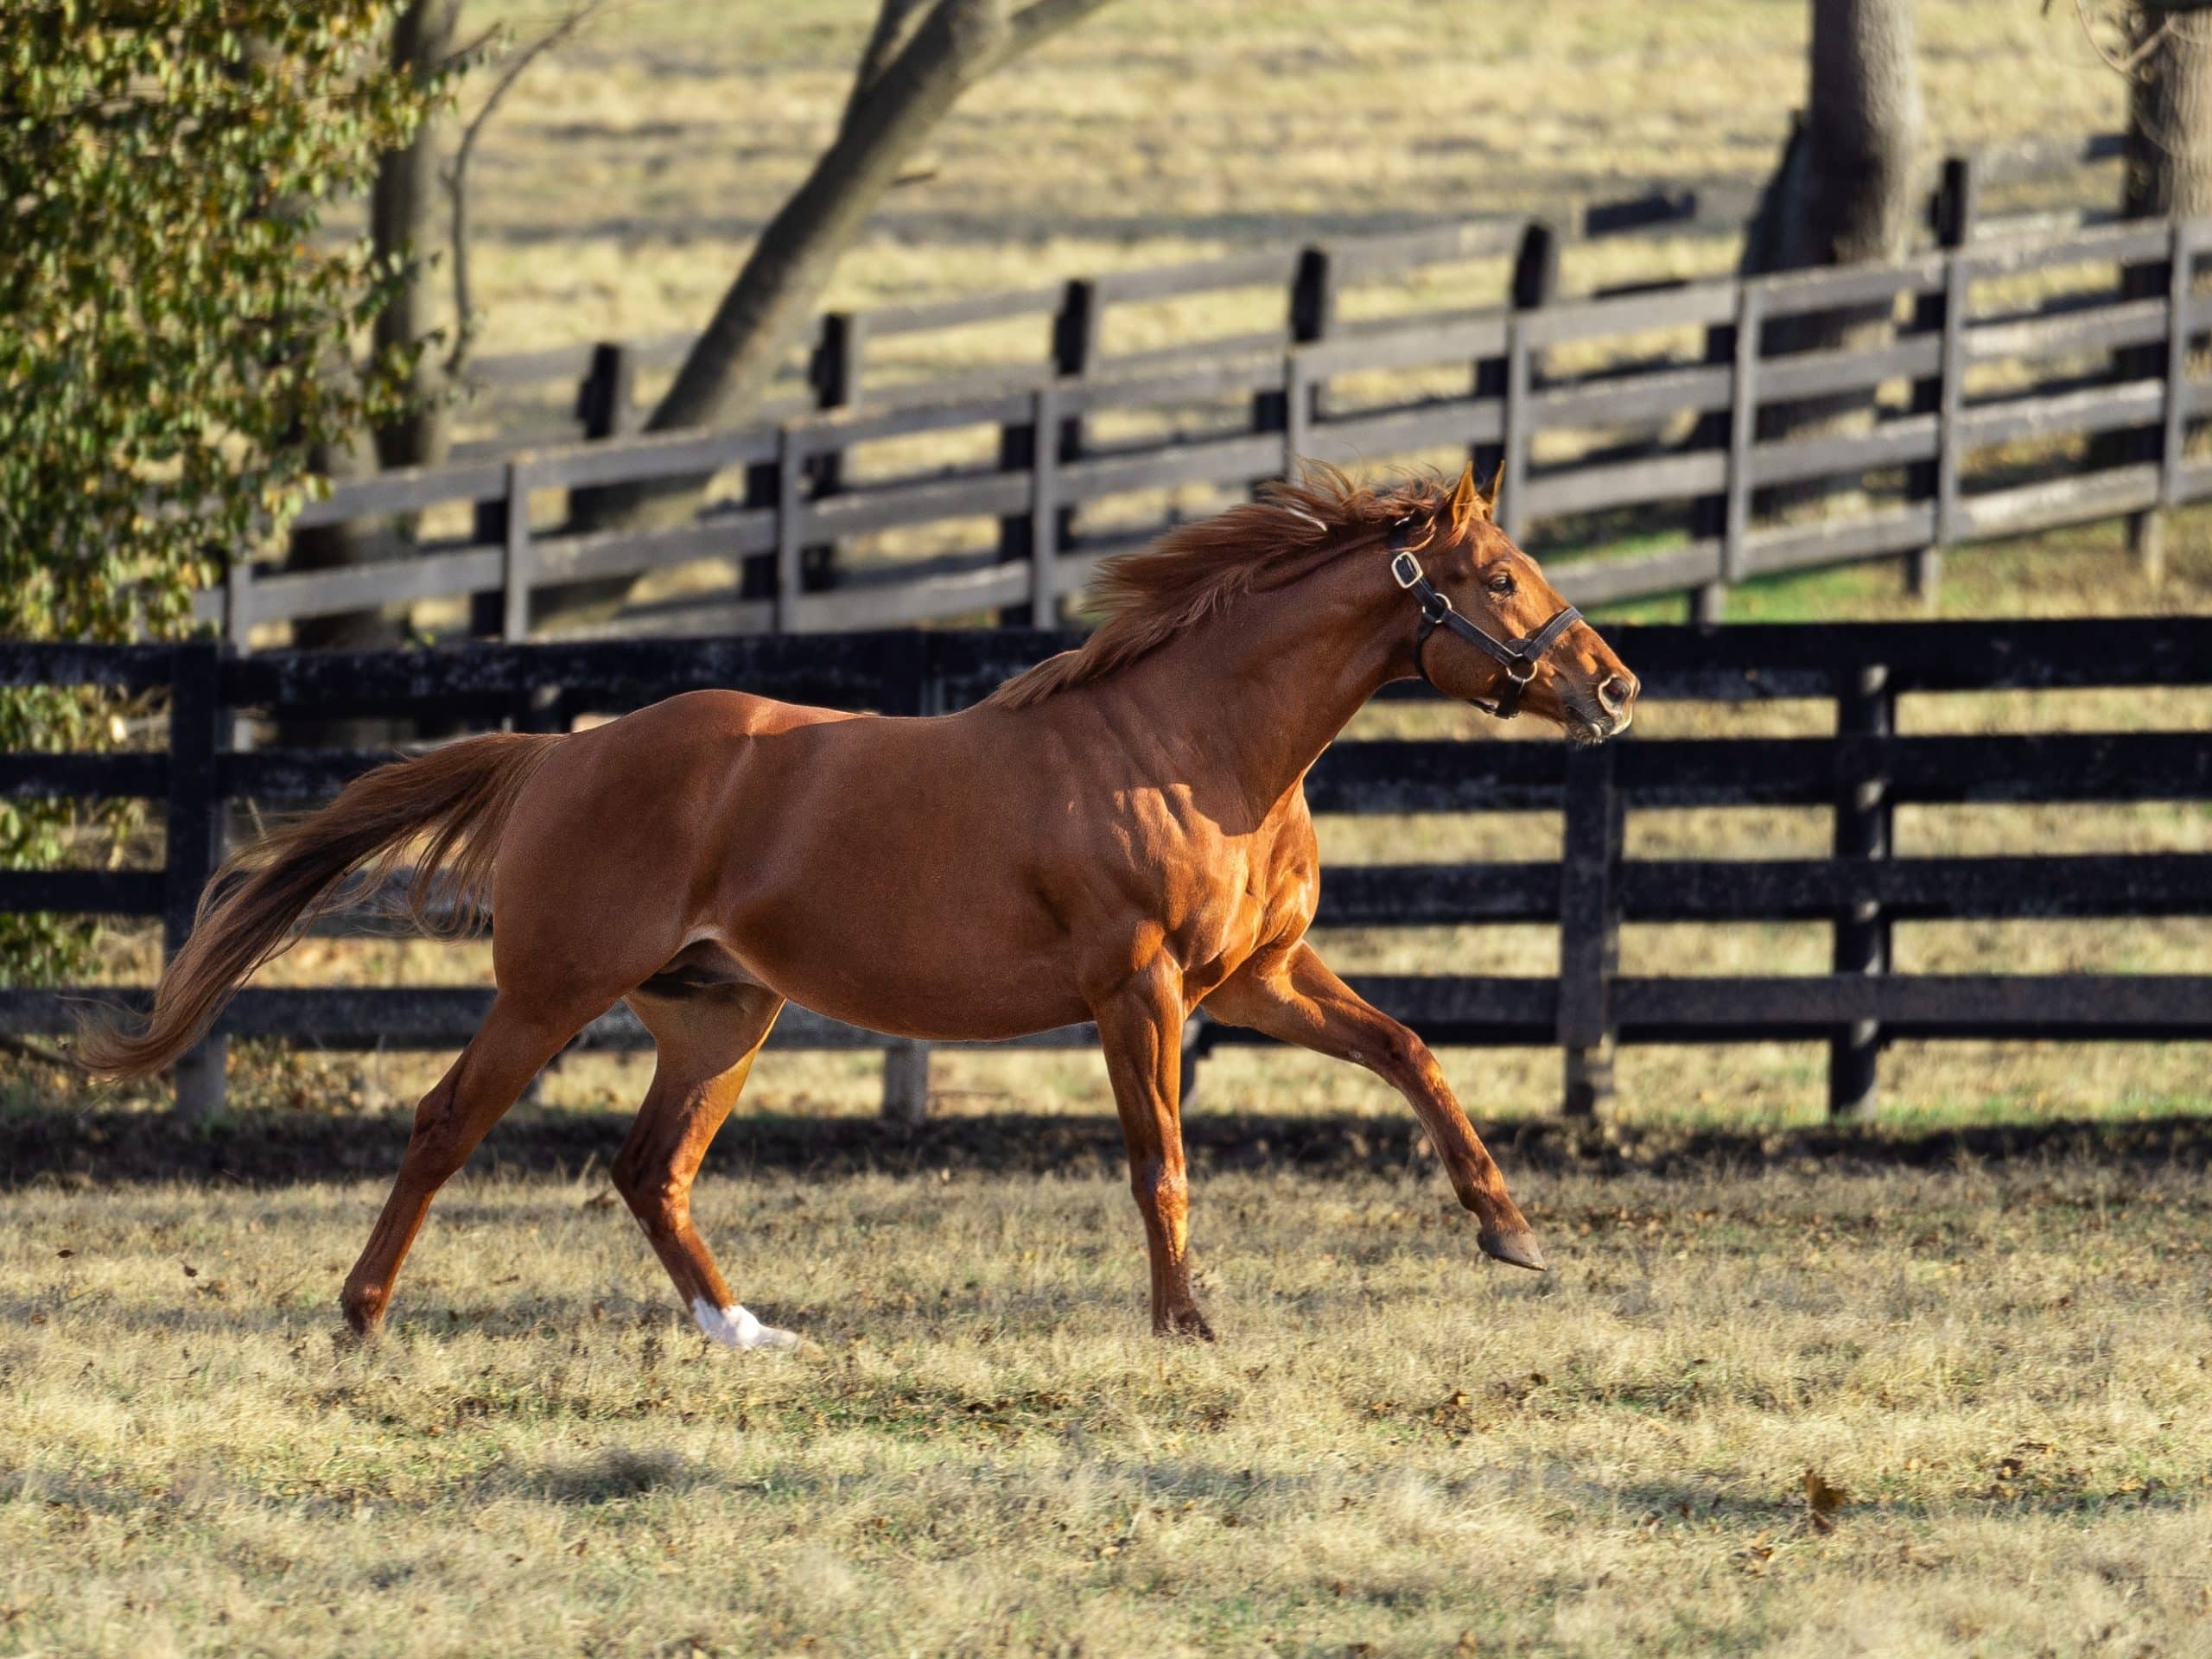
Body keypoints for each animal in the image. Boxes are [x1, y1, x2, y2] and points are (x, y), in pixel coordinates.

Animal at [86, 464, 1637, 1353]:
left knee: (651, 1168)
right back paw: (361, 1320)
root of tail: (563, 752)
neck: (1196, 747)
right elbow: (1161, 1162)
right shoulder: (1138, 993)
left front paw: (1511, 1233)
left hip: (722, 1015)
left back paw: (744, 1332)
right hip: (551, 993)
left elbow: (1411, 1054)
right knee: (446, 1124)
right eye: (1500, 576)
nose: (1615, 689)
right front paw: (1187, 1323)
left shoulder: (1257, 978)